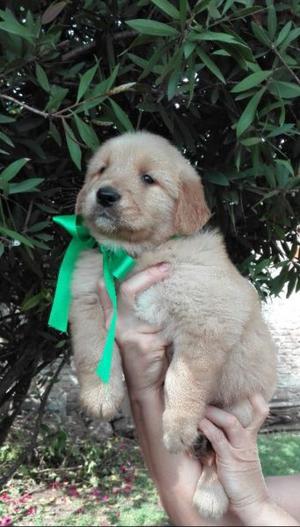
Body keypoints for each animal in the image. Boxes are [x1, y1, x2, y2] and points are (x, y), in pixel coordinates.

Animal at [70, 132, 276, 520]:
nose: (105, 194)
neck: (137, 254)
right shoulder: (87, 298)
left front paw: (177, 427)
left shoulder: (204, 323)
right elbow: (92, 352)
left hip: (240, 409)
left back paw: (210, 496)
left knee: (221, 456)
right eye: (101, 170)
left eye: (148, 178)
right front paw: (99, 397)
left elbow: (183, 380)